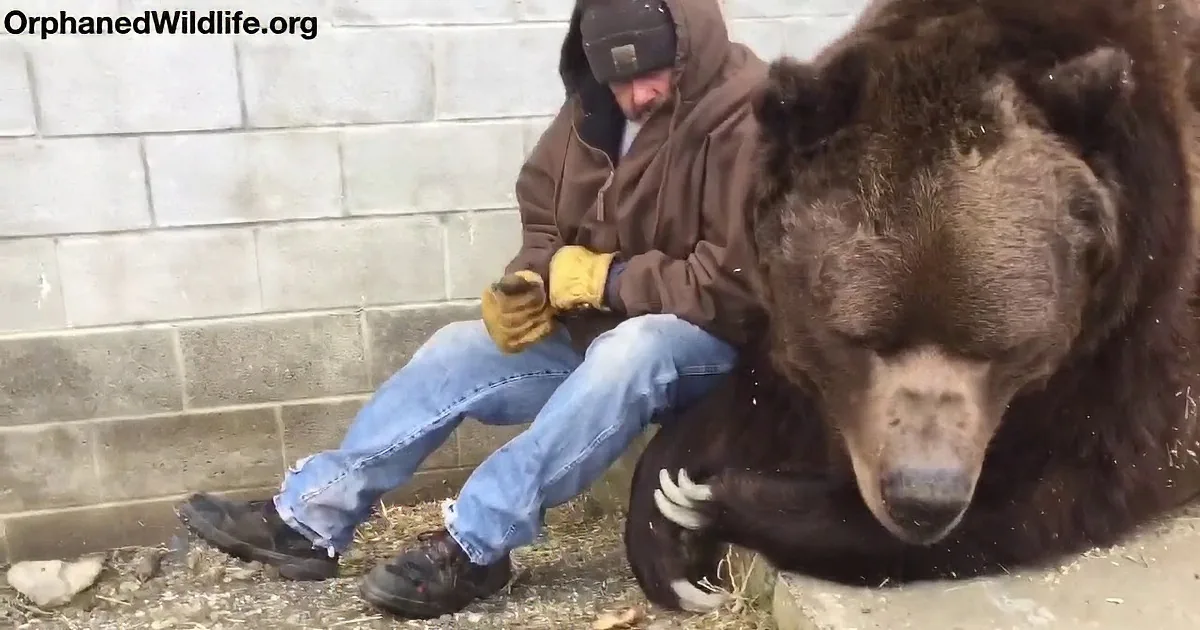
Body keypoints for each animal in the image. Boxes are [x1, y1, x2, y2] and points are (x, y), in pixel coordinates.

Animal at [622, 0, 1200, 614]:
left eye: (1002, 347)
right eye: (861, 338)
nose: (923, 498)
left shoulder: (1138, 328)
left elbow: (1056, 484)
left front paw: (720, 500)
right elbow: (767, 392)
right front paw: (667, 507)